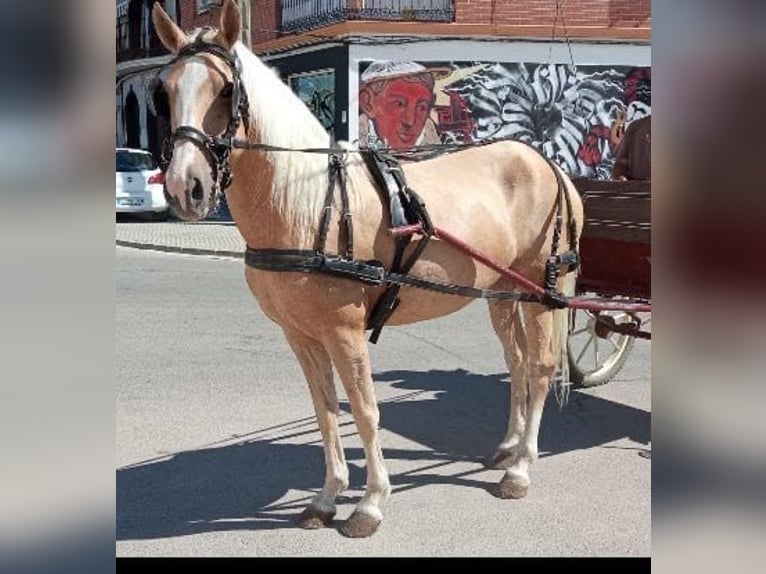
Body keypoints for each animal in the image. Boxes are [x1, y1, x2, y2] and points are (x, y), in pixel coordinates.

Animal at [153, 0, 584, 540]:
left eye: (227, 89)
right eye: (165, 91)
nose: (183, 187)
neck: (313, 204)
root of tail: (543, 161)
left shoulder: (345, 331)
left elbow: (364, 409)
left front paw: (371, 502)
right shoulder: (301, 334)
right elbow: (325, 410)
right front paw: (326, 497)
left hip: (543, 291)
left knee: (542, 367)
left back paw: (522, 466)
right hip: (504, 293)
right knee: (519, 364)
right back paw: (508, 447)